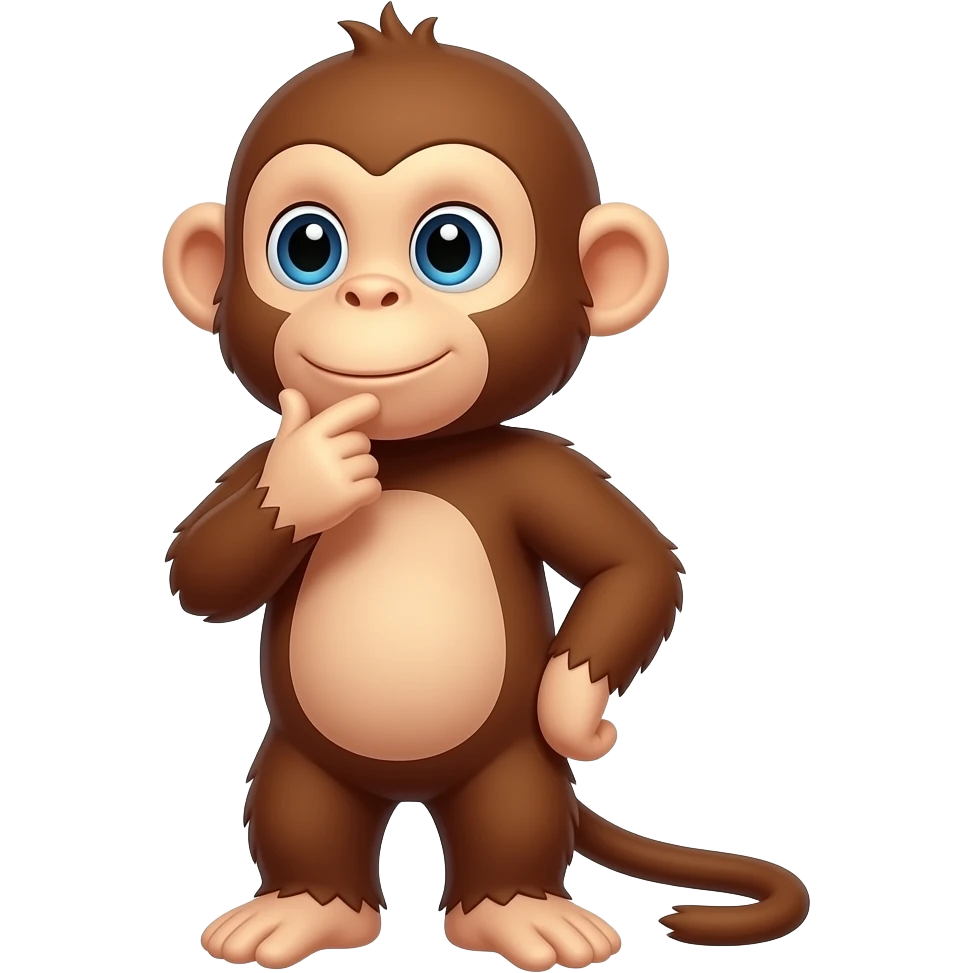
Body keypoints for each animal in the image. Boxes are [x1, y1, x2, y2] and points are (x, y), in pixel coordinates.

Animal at [161, 6, 810, 970]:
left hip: (507, 771)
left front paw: (574, 711)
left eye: (449, 247)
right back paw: (301, 908)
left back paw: (521, 912)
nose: (369, 293)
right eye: (307, 245)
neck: (414, 458)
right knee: (298, 813)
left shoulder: (543, 468)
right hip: (299, 758)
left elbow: (635, 564)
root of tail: (409, 787)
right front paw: (314, 471)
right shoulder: (252, 458)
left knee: (515, 818)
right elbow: (200, 568)